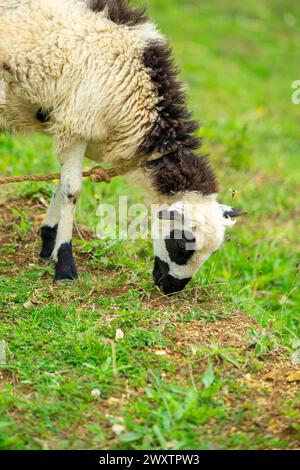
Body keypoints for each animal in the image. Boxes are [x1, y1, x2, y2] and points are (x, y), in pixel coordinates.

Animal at [0, 0, 244, 294]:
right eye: (180, 242)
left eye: (213, 252)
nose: (170, 287)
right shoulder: (77, 124)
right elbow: (73, 191)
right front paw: (65, 267)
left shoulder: (72, 128)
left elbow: (62, 184)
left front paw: (48, 246)